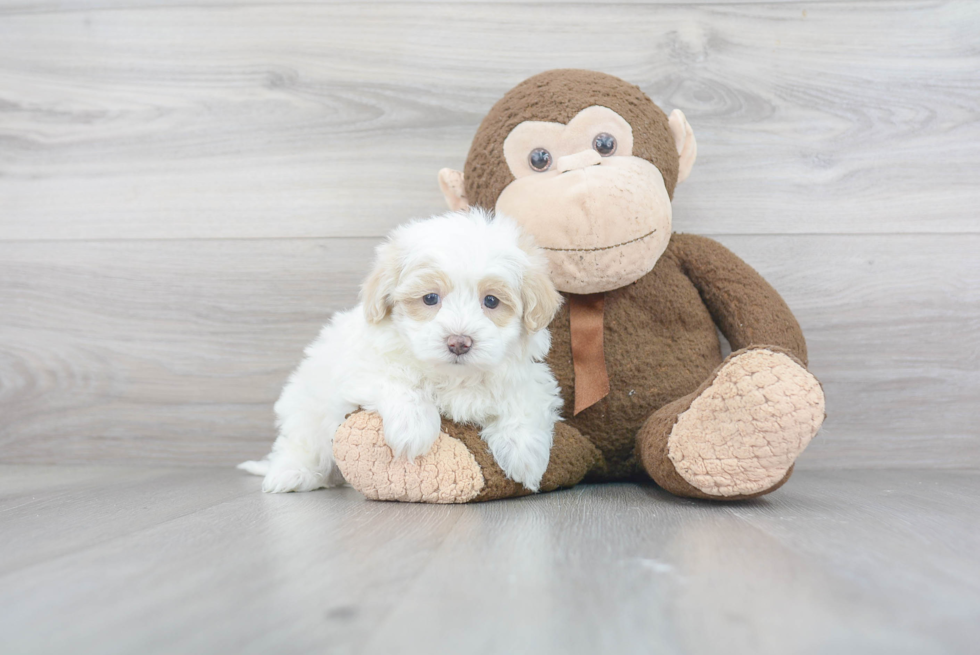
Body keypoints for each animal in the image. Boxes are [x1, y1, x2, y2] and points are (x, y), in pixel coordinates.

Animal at [239, 209, 568, 492]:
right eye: (430, 298)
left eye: (491, 301)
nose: (459, 342)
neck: (454, 376)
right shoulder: (361, 367)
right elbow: (399, 382)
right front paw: (414, 430)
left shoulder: (531, 378)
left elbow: (525, 402)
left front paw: (525, 457)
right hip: (305, 410)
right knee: (299, 445)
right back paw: (291, 473)